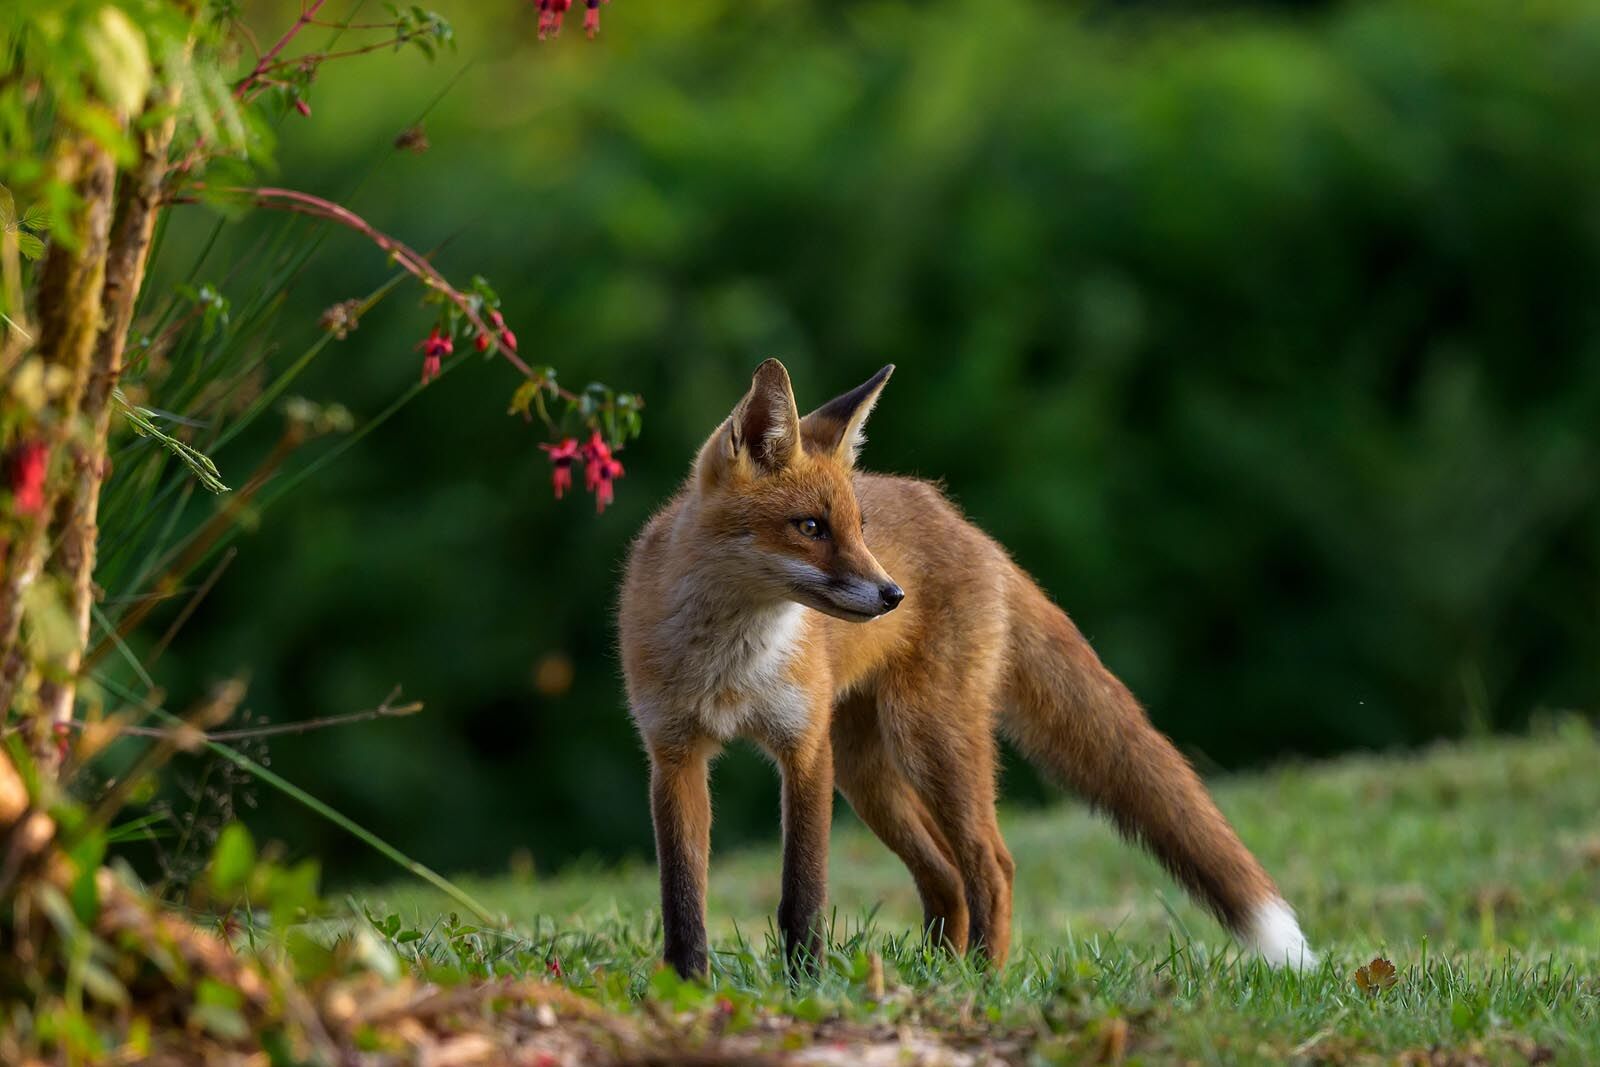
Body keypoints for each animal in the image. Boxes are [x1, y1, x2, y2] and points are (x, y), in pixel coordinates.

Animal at [619, 359, 1315, 979]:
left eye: (859, 527)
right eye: (810, 527)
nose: (893, 596)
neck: (731, 665)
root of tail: (975, 532)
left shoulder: (805, 748)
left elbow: (803, 895)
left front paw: (804, 986)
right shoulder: (674, 753)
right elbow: (682, 898)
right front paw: (687, 987)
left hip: (929, 741)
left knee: (992, 865)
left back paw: (980, 980)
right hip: (871, 773)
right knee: (947, 876)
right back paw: (938, 974)